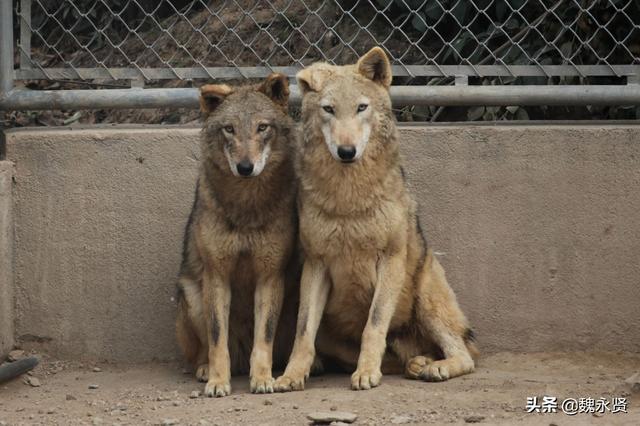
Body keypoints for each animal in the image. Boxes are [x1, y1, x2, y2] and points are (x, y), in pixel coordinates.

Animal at [272, 47, 478, 392]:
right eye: (329, 109)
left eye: (361, 107)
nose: (346, 151)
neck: (349, 198)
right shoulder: (316, 265)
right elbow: (303, 333)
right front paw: (291, 375)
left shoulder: (390, 259)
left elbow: (374, 324)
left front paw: (367, 372)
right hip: (332, 333)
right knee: (395, 357)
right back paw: (415, 363)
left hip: (426, 295)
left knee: (465, 355)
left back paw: (435, 367)